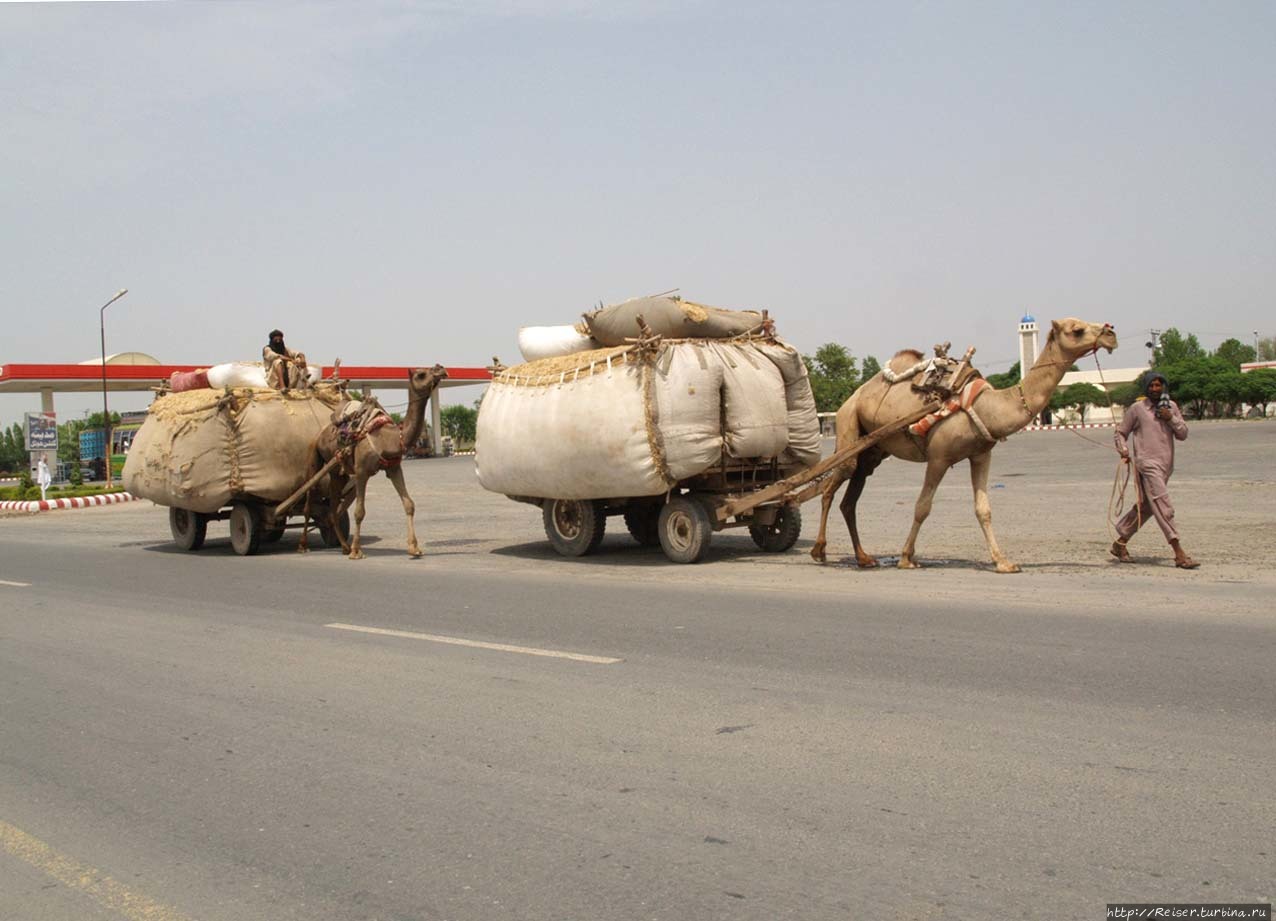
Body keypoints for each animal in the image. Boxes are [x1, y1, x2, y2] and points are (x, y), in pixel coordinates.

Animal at [303, 364, 449, 558]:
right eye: (421, 374)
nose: (441, 368)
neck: (391, 438)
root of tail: (319, 435)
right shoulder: (361, 471)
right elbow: (359, 511)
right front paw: (356, 551)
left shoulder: (394, 468)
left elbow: (409, 504)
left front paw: (414, 548)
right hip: (318, 461)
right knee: (310, 500)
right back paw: (304, 545)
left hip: (338, 472)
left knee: (333, 509)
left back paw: (343, 546)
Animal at [806, 318, 1117, 571]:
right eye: (1076, 329)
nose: (1110, 333)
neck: (988, 406)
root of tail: (850, 399)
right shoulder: (939, 457)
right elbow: (923, 506)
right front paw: (906, 558)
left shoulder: (980, 455)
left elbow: (983, 509)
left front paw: (1003, 562)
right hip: (848, 429)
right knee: (829, 489)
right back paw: (819, 550)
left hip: (872, 451)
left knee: (849, 501)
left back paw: (863, 557)